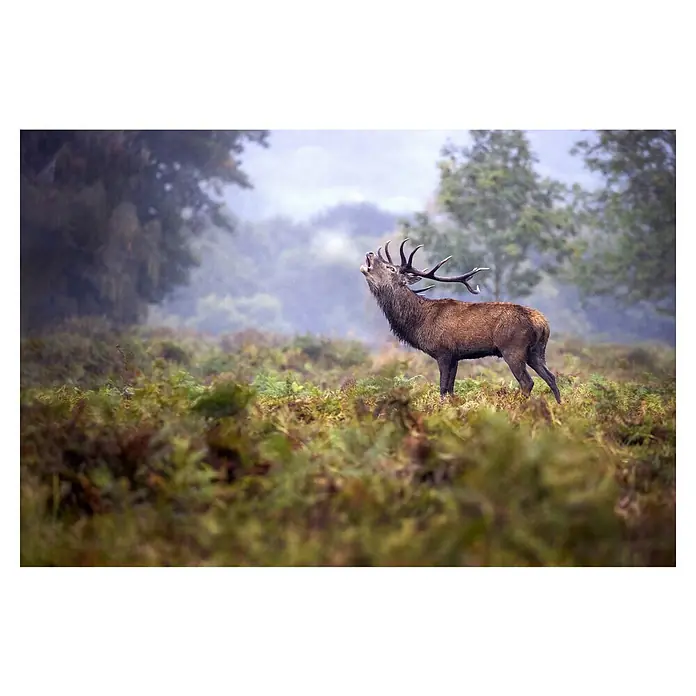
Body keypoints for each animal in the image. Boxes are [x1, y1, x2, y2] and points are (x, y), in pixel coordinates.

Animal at [360, 239, 561, 403]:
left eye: (391, 268)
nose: (369, 253)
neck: (418, 323)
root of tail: (542, 323)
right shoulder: (456, 356)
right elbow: (451, 389)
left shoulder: (443, 352)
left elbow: (443, 388)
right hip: (536, 351)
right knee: (551, 377)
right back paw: (560, 407)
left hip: (513, 349)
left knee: (527, 382)